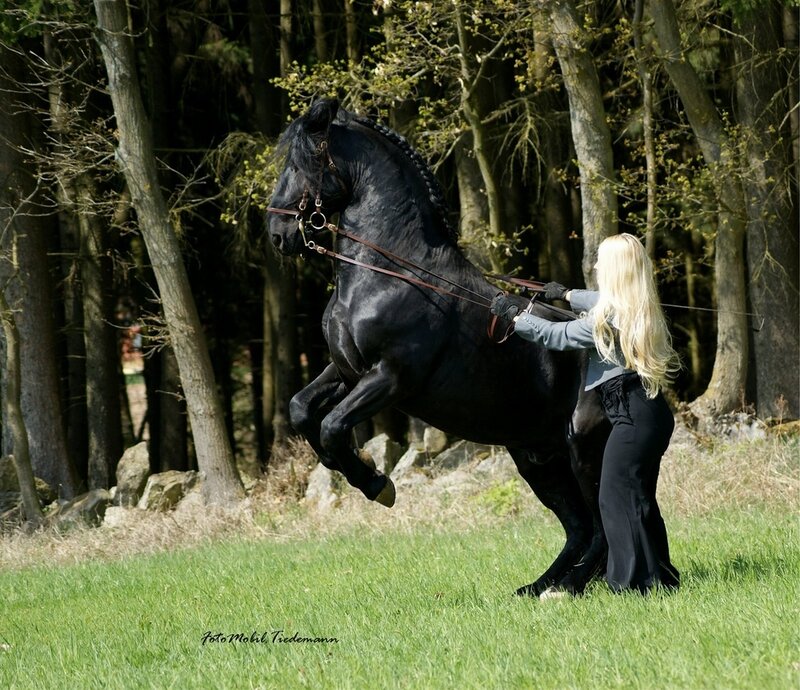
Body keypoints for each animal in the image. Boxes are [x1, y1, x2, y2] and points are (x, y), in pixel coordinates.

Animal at [267, 98, 611, 597]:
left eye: (302, 162)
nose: (278, 234)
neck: (389, 274)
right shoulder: (346, 371)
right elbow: (301, 410)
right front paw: (358, 473)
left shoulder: (390, 377)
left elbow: (331, 426)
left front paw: (377, 483)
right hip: (538, 457)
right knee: (579, 527)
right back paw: (538, 586)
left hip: (583, 449)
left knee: (601, 525)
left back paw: (564, 589)